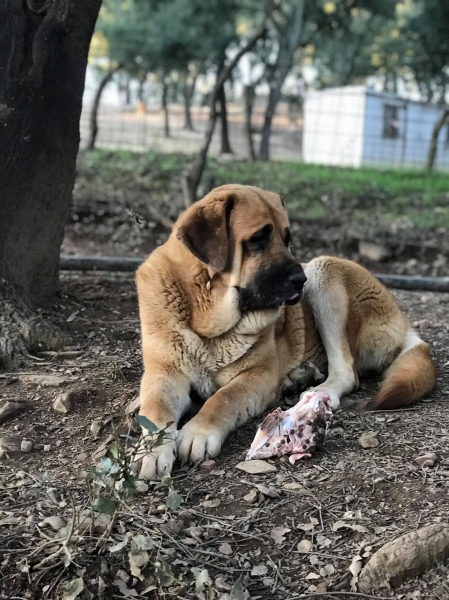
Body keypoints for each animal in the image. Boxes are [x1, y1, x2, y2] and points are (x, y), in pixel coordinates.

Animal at [135, 183, 436, 478]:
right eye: (258, 238)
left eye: (287, 238)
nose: (299, 280)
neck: (207, 317)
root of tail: (402, 318)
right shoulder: (165, 373)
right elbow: (155, 408)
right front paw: (150, 450)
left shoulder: (259, 376)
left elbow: (223, 399)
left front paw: (199, 431)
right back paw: (298, 377)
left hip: (323, 270)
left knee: (347, 372)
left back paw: (318, 391)